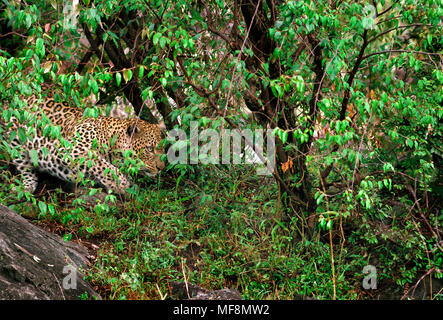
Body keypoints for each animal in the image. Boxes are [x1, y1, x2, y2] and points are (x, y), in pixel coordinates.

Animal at [0, 84, 166, 195]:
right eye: (150, 149)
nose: (161, 169)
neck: (111, 139)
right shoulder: (68, 149)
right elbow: (102, 165)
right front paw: (122, 183)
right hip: (15, 139)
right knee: (25, 168)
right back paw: (25, 187)